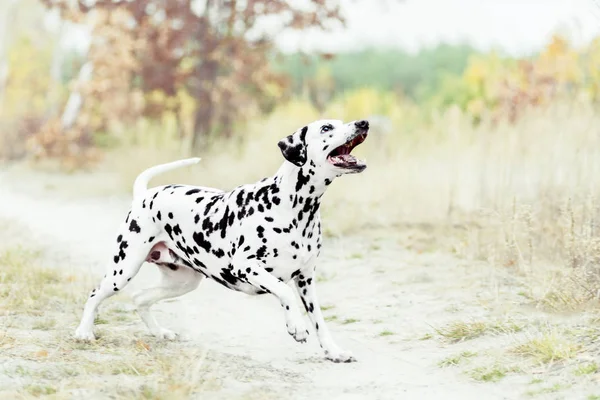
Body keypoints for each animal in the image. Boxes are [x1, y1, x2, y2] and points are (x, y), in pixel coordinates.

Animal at [72, 118, 368, 362]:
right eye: (326, 128)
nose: (363, 122)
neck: (292, 206)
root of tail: (144, 195)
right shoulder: (247, 267)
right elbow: (284, 293)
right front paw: (296, 326)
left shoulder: (306, 280)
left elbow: (319, 320)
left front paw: (334, 352)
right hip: (122, 269)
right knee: (95, 295)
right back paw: (84, 332)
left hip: (182, 281)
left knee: (141, 298)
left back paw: (159, 332)